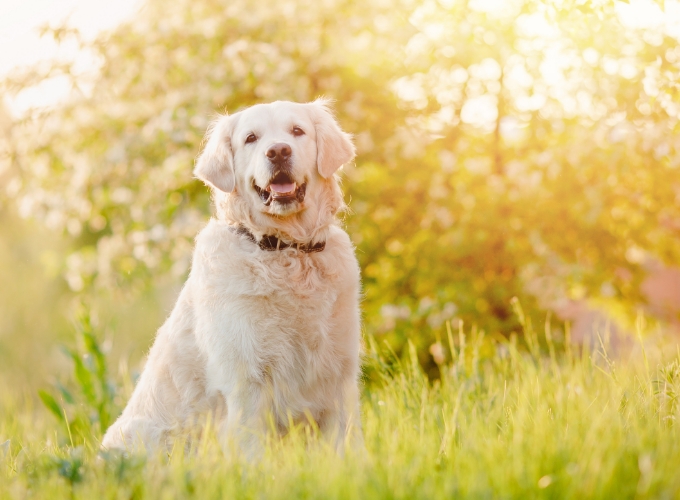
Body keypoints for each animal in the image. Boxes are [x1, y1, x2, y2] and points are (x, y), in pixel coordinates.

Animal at [101, 99, 364, 456]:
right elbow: (252, 449)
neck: (285, 250)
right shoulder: (247, 379)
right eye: (251, 138)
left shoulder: (339, 372)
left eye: (297, 131)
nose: (278, 151)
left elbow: (346, 443)